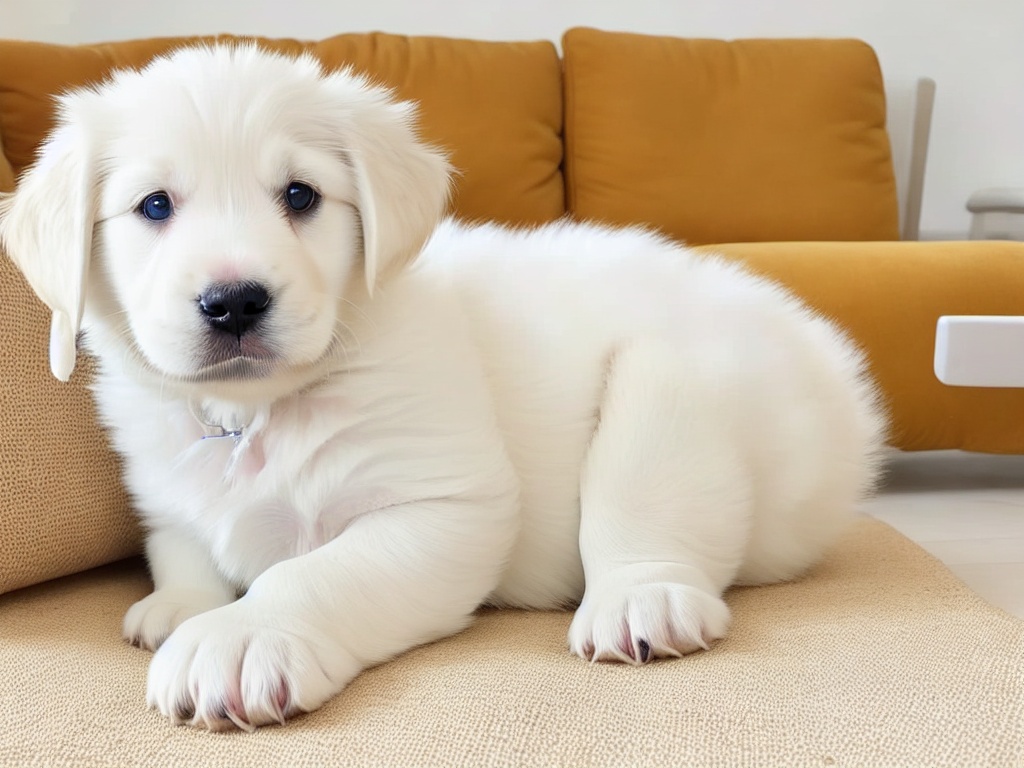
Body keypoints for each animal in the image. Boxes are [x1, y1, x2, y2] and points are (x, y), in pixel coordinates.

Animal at [0, 43, 880, 733]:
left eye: (300, 196)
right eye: (154, 206)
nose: (235, 301)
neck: (255, 414)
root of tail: (823, 355)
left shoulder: (446, 507)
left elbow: (311, 573)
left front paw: (243, 634)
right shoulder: (169, 497)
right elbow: (181, 546)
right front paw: (183, 604)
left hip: (672, 383)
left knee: (648, 518)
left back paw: (643, 599)